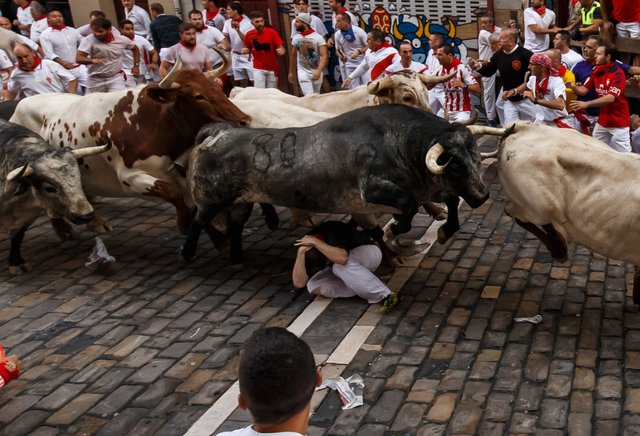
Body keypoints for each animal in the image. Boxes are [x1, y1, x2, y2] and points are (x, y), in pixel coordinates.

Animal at [10, 51, 250, 237]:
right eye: (198, 96)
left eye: (217, 88)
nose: (244, 120)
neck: (155, 124)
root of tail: (21, 103)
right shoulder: (130, 177)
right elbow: (171, 192)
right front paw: (183, 223)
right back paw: (63, 228)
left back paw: (94, 222)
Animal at [180, 105, 490, 262]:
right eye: (456, 164)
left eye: (475, 156)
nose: (482, 196)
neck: (399, 141)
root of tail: (218, 133)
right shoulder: (373, 188)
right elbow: (409, 206)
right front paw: (397, 228)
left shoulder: (426, 188)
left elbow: (450, 202)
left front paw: (445, 230)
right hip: (211, 199)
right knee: (198, 220)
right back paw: (187, 253)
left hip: (240, 202)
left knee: (234, 225)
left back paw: (235, 255)